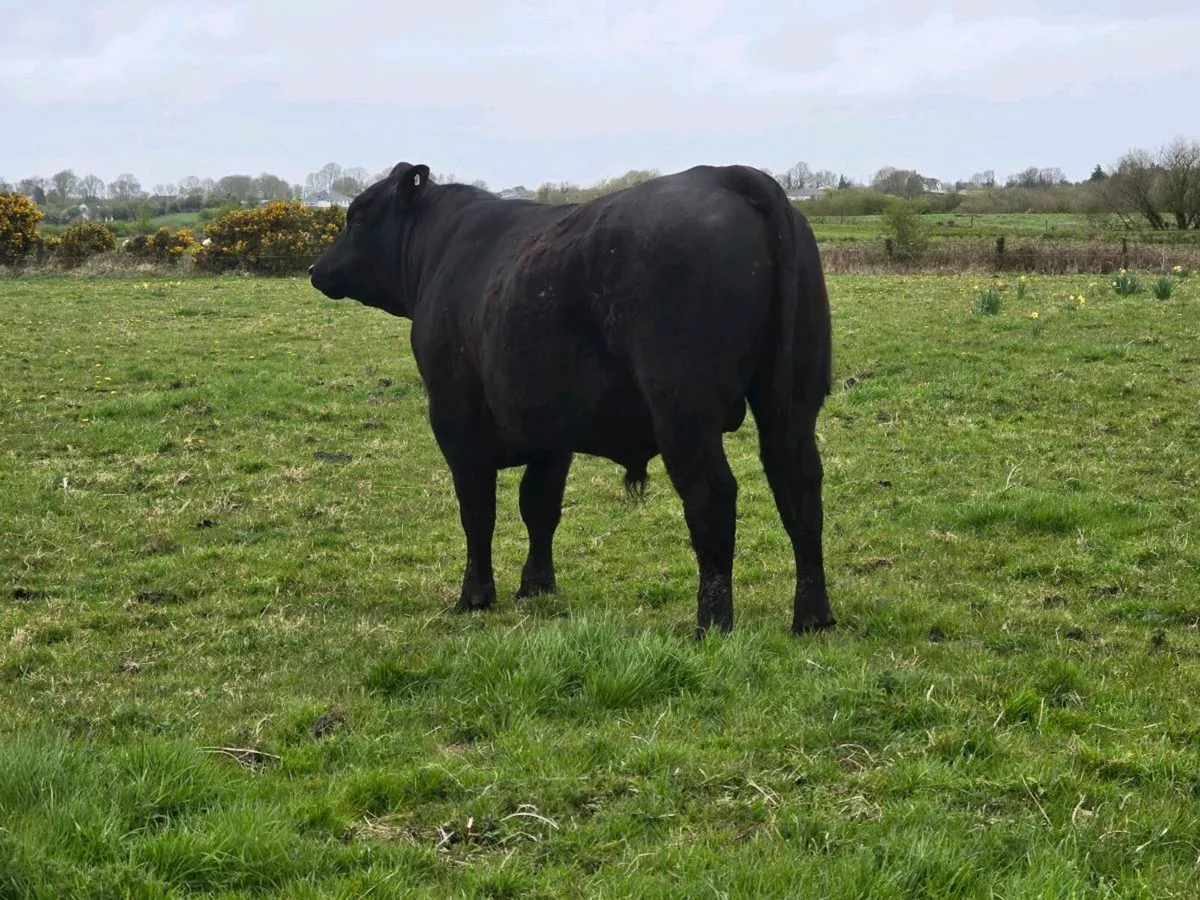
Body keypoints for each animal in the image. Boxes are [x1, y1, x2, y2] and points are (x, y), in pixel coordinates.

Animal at [309, 161, 835, 637]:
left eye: (358, 219)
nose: (316, 269)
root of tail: (729, 174)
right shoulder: (549, 430)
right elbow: (539, 506)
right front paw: (536, 585)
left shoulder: (455, 418)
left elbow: (477, 511)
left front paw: (474, 596)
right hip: (792, 401)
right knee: (800, 489)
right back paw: (812, 617)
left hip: (685, 409)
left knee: (712, 496)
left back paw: (712, 622)